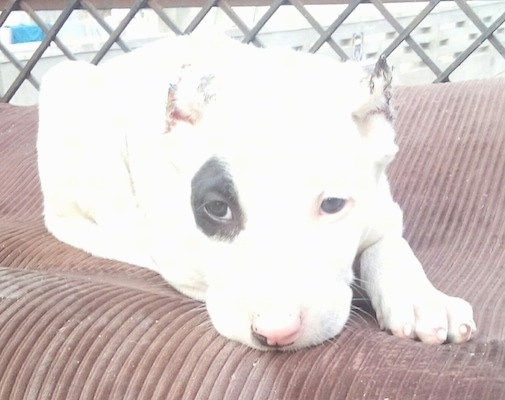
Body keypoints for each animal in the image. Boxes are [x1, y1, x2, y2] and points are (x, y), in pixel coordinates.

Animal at [37, 34, 474, 350]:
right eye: (217, 208)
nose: (277, 332)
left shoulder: (383, 208)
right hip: (68, 95)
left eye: (333, 204)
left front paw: (421, 298)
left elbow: (389, 245)